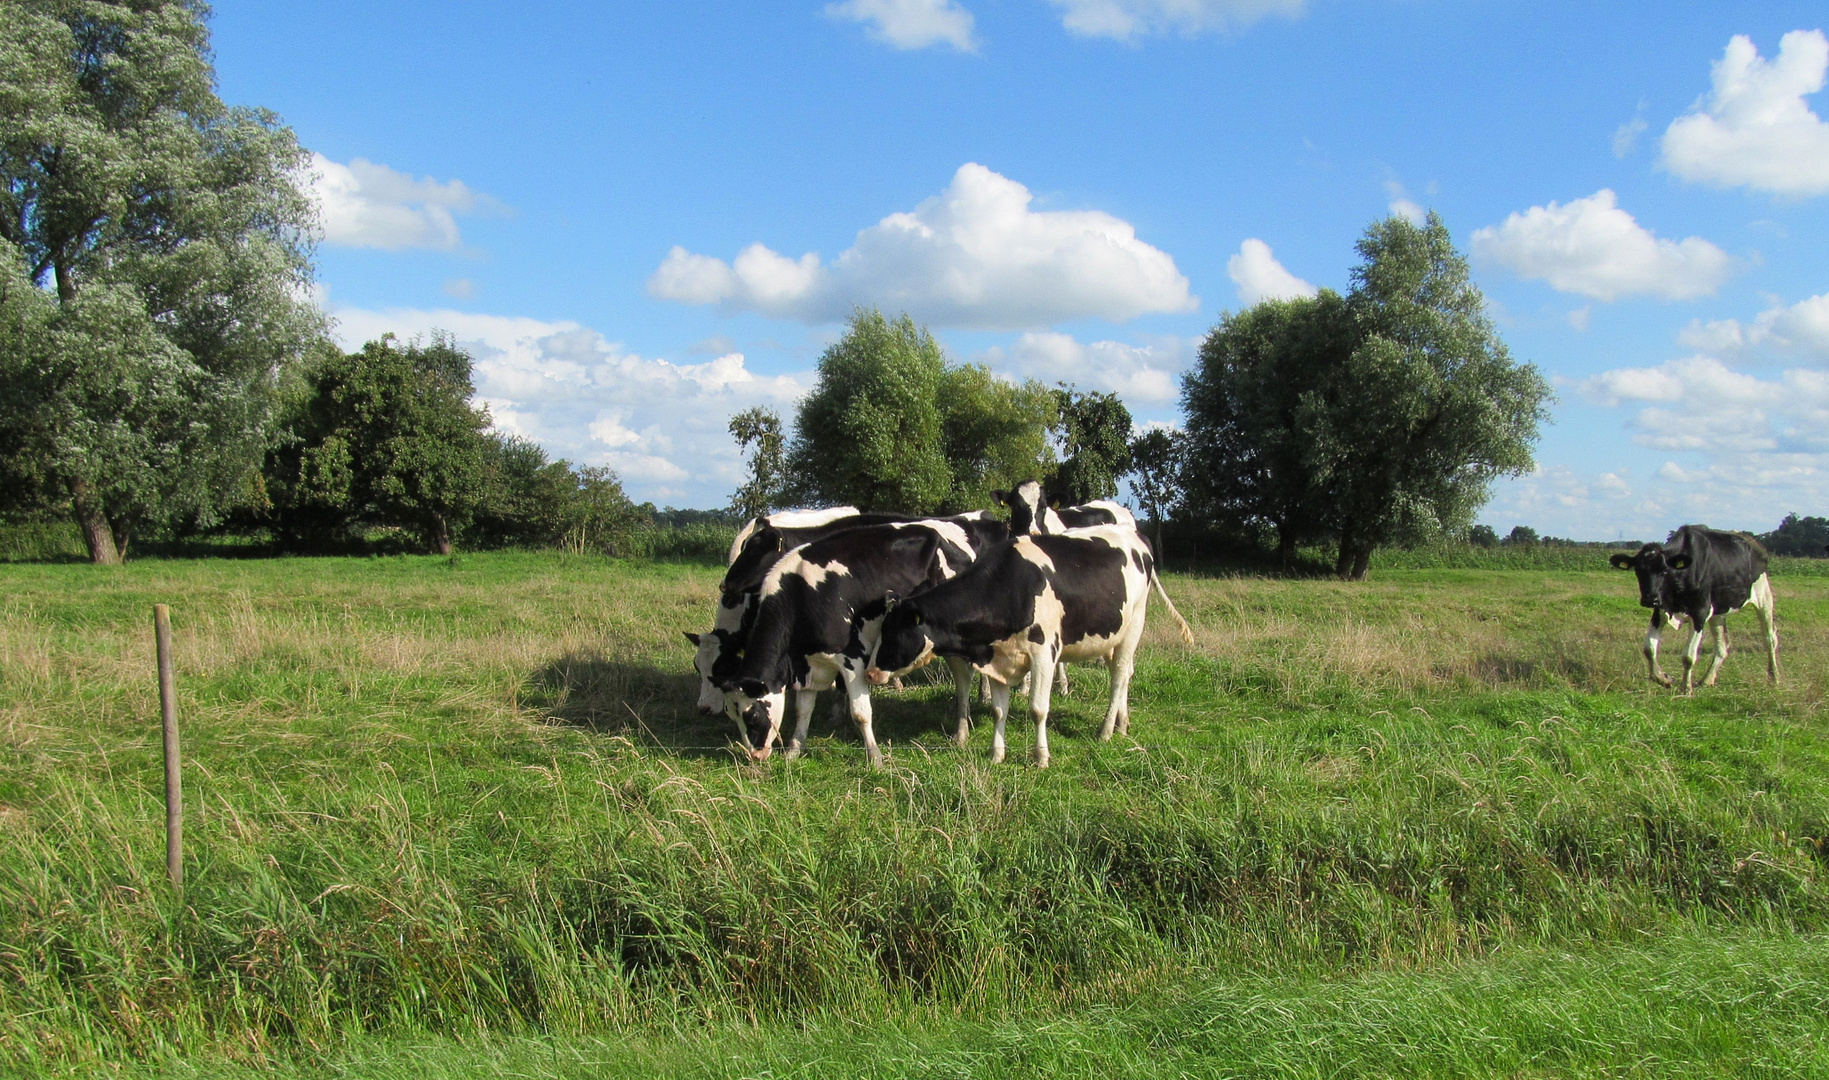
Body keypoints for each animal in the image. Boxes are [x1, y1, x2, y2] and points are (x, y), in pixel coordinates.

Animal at [720, 519, 994, 765]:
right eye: (732, 716)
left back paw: (961, 732)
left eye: (751, 716)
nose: (755, 756)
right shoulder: (808, 665)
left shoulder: (853, 659)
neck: (802, 597)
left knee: (963, 681)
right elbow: (802, 711)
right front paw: (793, 752)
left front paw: (875, 758)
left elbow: (861, 714)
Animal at [863, 527, 1192, 768]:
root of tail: (1135, 534)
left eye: (894, 633)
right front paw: (996, 754)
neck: (1011, 587)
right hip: (1112, 634)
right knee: (1123, 674)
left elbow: (1037, 709)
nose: (869, 674)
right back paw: (1123, 724)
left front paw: (1041, 757)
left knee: (1119, 676)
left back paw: (1106, 730)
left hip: (1134, 624)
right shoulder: (998, 658)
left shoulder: (1044, 654)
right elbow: (999, 711)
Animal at [1609, 530, 1777, 699]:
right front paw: (1663, 679)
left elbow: (1688, 656)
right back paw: (1707, 679)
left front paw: (1686, 688)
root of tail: (1753, 542)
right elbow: (1649, 648)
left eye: (1664, 571)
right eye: (1638, 571)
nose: (1650, 599)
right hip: (1718, 613)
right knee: (1722, 645)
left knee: (1769, 639)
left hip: (1764, 597)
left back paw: (1774, 677)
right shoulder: (1660, 611)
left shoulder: (1699, 613)